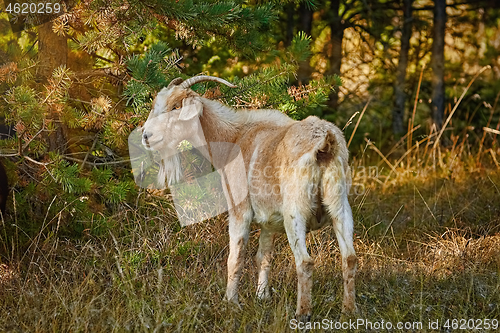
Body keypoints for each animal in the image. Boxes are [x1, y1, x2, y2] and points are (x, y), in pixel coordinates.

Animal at [143, 75, 358, 320]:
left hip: (295, 212)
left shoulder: (240, 211)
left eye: (176, 107)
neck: (234, 137)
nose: (146, 136)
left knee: (305, 262)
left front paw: (230, 303)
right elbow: (263, 257)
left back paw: (302, 314)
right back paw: (349, 311)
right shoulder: (269, 221)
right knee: (349, 258)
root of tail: (325, 143)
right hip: (340, 206)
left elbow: (235, 258)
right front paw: (262, 296)